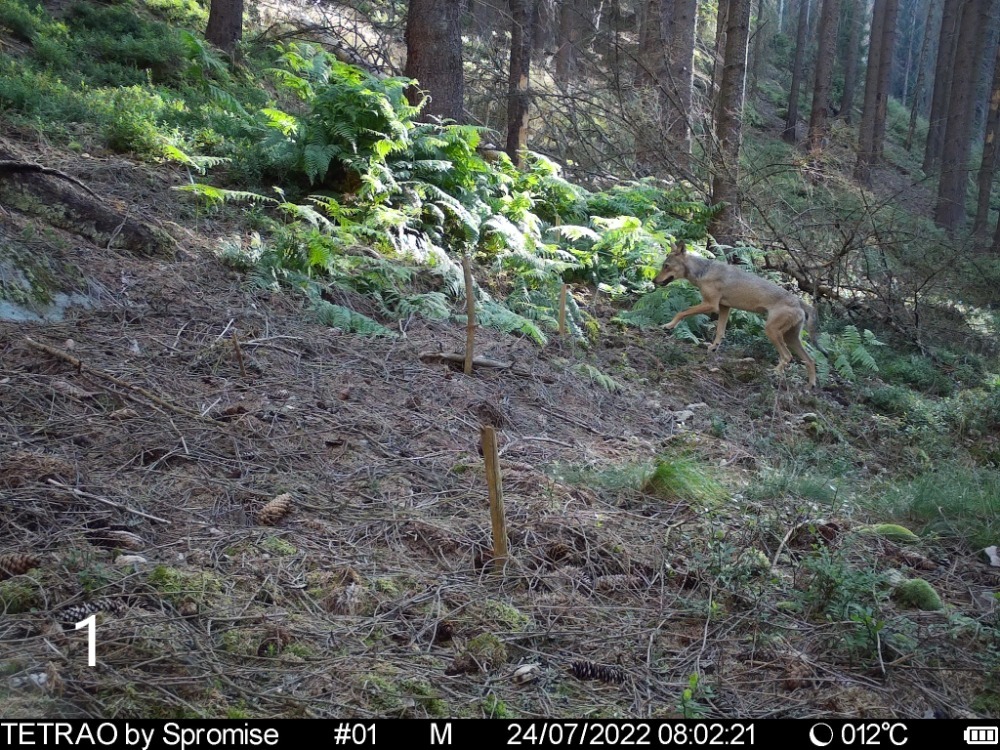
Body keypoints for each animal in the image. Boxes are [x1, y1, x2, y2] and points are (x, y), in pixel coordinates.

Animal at [652, 244, 824, 390]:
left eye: (666, 266)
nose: (653, 280)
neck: (703, 270)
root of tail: (799, 301)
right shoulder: (724, 307)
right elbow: (720, 331)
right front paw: (713, 348)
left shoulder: (711, 305)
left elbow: (682, 312)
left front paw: (668, 325)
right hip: (790, 338)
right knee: (810, 360)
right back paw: (810, 386)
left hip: (772, 331)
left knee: (787, 357)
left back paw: (773, 373)